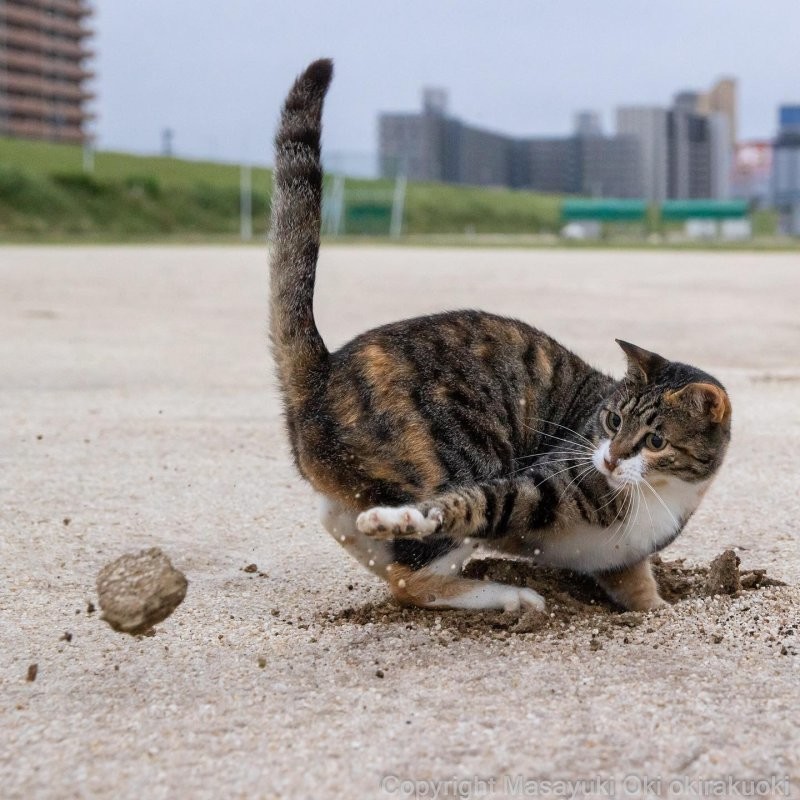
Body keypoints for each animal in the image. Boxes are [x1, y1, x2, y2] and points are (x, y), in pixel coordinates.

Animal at [268, 59, 732, 616]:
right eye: (612, 419)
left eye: (657, 440)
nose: (611, 458)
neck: (659, 492)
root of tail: (324, 372)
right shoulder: (533, 487)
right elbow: (469, 506)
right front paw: (409, 520)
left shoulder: (624, 560)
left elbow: (643, 596)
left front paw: (659, 607)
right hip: (455, 452)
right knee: (409, 579)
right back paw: (508, 594)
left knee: (345, 528)